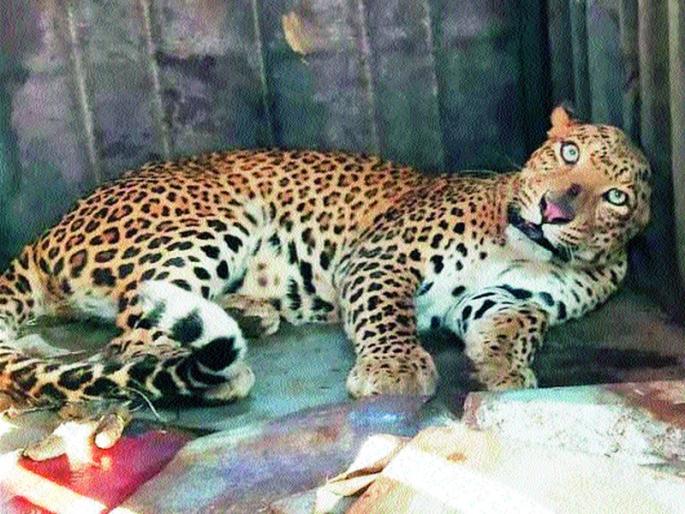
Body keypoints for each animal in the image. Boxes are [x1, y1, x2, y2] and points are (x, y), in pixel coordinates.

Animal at [0, 106, 650, 414]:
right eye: (568, 152)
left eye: (615, 196)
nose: (553, 210)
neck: (527, 249)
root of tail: (42, 235)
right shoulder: (382, 256)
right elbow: (386, 315)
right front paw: (394, 370)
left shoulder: (502, 298)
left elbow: (519, 322)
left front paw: (502, 368)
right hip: (216, 219)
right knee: (129, 340)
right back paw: (205, 373)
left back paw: (249, 313)